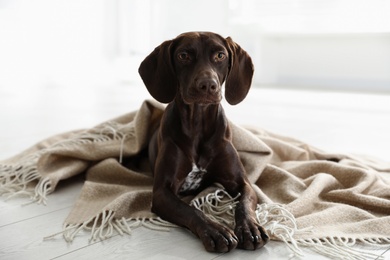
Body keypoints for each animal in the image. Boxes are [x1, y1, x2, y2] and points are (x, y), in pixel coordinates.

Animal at [139, 31, 270, 252]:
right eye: (183, 56)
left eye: (220, 55)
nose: (208, 85)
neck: (198, 124)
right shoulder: (162, 193)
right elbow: (190, 210)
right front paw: (216, 231)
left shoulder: (243, 183)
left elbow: (243, 205)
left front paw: (250, 228)